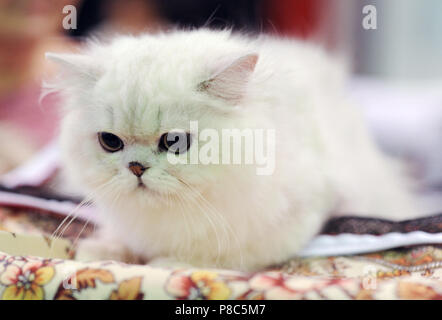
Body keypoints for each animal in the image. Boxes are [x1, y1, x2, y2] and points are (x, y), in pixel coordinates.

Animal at [47, 29, 418, 270]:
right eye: (111, 142)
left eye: (174, 142)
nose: (136, 168)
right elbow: (117, 240)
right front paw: (101, 252)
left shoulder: (289, 222)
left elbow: (215, 258)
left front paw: (166, 263)